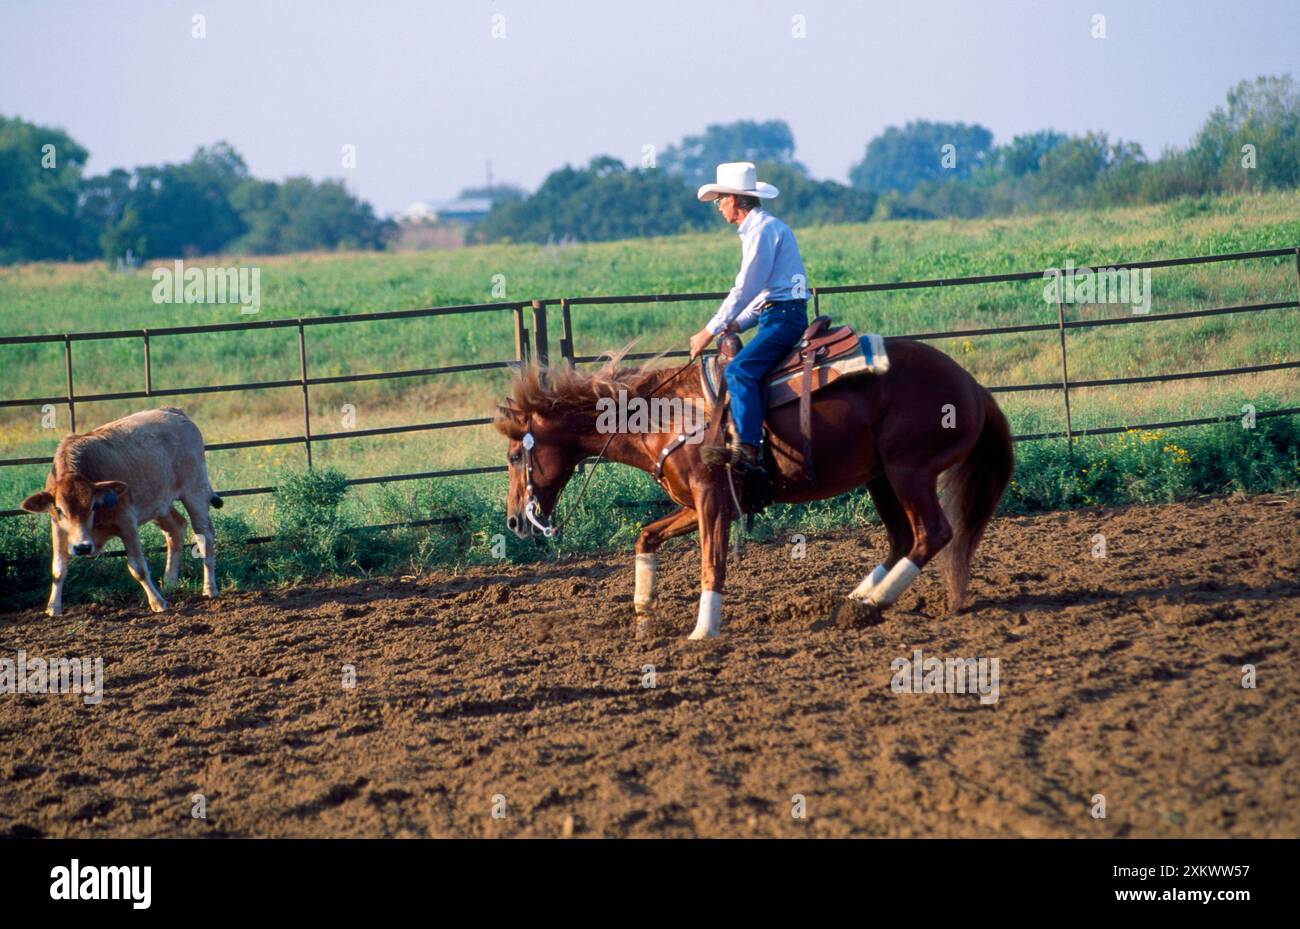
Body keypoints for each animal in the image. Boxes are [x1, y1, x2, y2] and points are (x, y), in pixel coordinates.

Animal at [496, 340, 1013, 639]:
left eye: (515, 456)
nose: (516, 521)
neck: (666, 414)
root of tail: (973, 387)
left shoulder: (711, 500)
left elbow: (712, 563)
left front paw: (703, 632)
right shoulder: (700, 503)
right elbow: (646, 537)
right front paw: (643, 612)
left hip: (909, 471)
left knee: (932, 533)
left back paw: (871, 604)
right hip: (881, 477)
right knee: (904, 538)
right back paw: (857, 602)